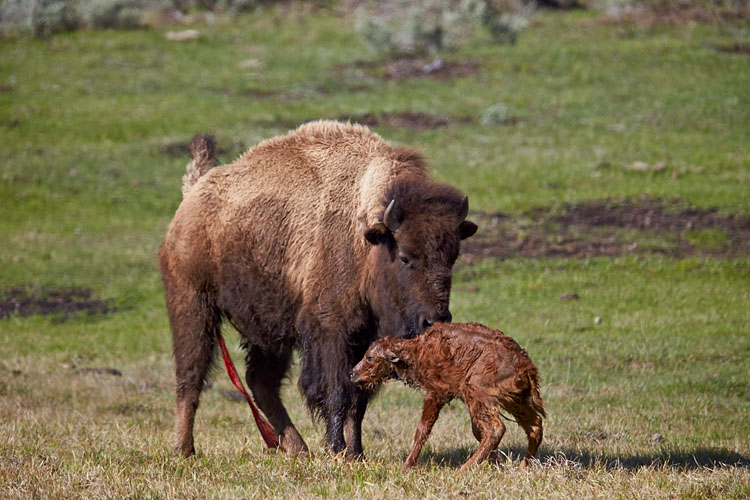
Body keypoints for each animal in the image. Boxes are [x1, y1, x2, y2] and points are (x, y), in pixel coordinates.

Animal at [161, 120, 478, 458]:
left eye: (453, 255)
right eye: (405, 256)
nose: (435, 320)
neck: (365, 239)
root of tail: (194, 191)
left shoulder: (364, 340)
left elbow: (358, 400)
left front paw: (355, 453)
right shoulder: (330, 331)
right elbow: (337, 391)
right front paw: (337, 450)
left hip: (269, 330)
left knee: (260, 382)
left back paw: (297, 449)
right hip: (193, 304)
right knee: (191, 376)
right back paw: (185, 449)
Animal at [352, 322, 548, 470]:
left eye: (369, 357)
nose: (352, 373)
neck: (417, 353)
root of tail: (525, 365)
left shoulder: (436, 393)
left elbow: (422, 430)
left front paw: (407, 466)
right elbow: (476, 430)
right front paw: (496, 461)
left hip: (478, 389)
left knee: (496, 428)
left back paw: (465, 468)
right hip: (513, 398)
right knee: (535, 424)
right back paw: (524, 465)